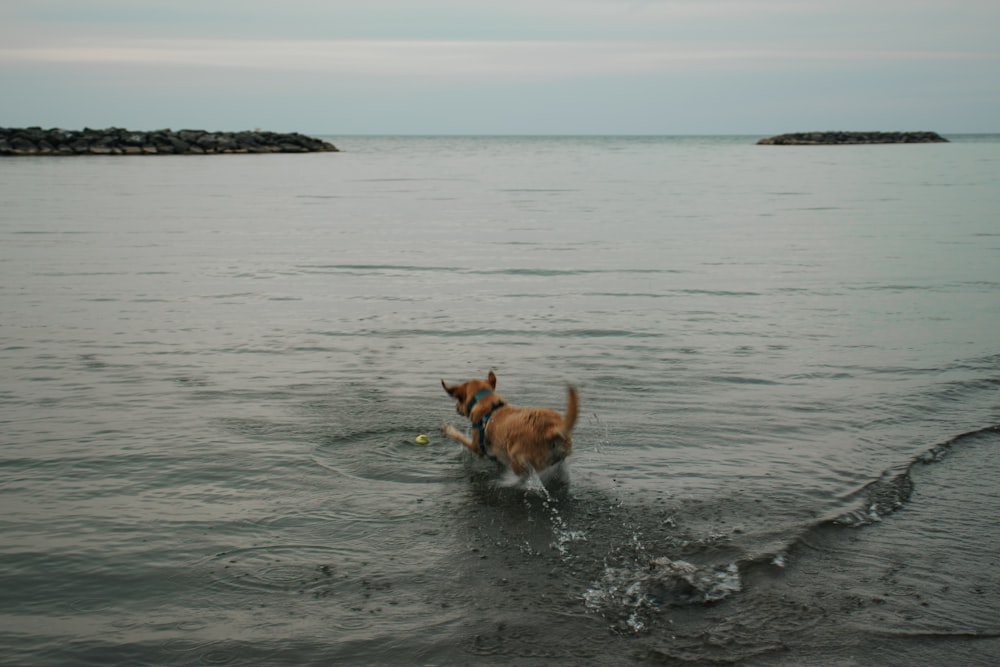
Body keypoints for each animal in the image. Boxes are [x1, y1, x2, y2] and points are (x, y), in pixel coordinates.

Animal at [440, 370, 580, 474]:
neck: (486, 402)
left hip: (518, 458)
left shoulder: (477, 447)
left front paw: (447, 429)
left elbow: (460, 437)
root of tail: (550, 429)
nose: (456, 407)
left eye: (459, 399)